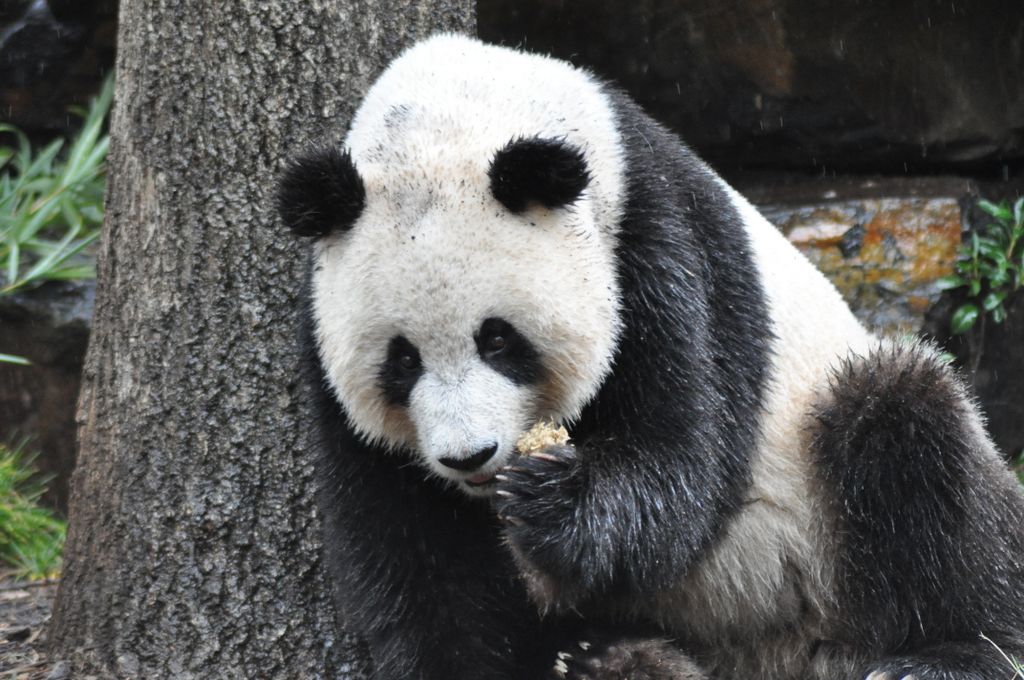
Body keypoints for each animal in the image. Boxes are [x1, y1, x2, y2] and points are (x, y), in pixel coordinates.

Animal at [276, 34, 1024, 680]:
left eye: (498, 339)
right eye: (402, 361)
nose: (470, 457)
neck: (456, 108)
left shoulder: (657, 243)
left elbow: (682, 463)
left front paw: (552, 501)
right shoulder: (323, 335)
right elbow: (414, 554)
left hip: (828, 512)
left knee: (907, 430)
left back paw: (947, 654)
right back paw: (608, 660)